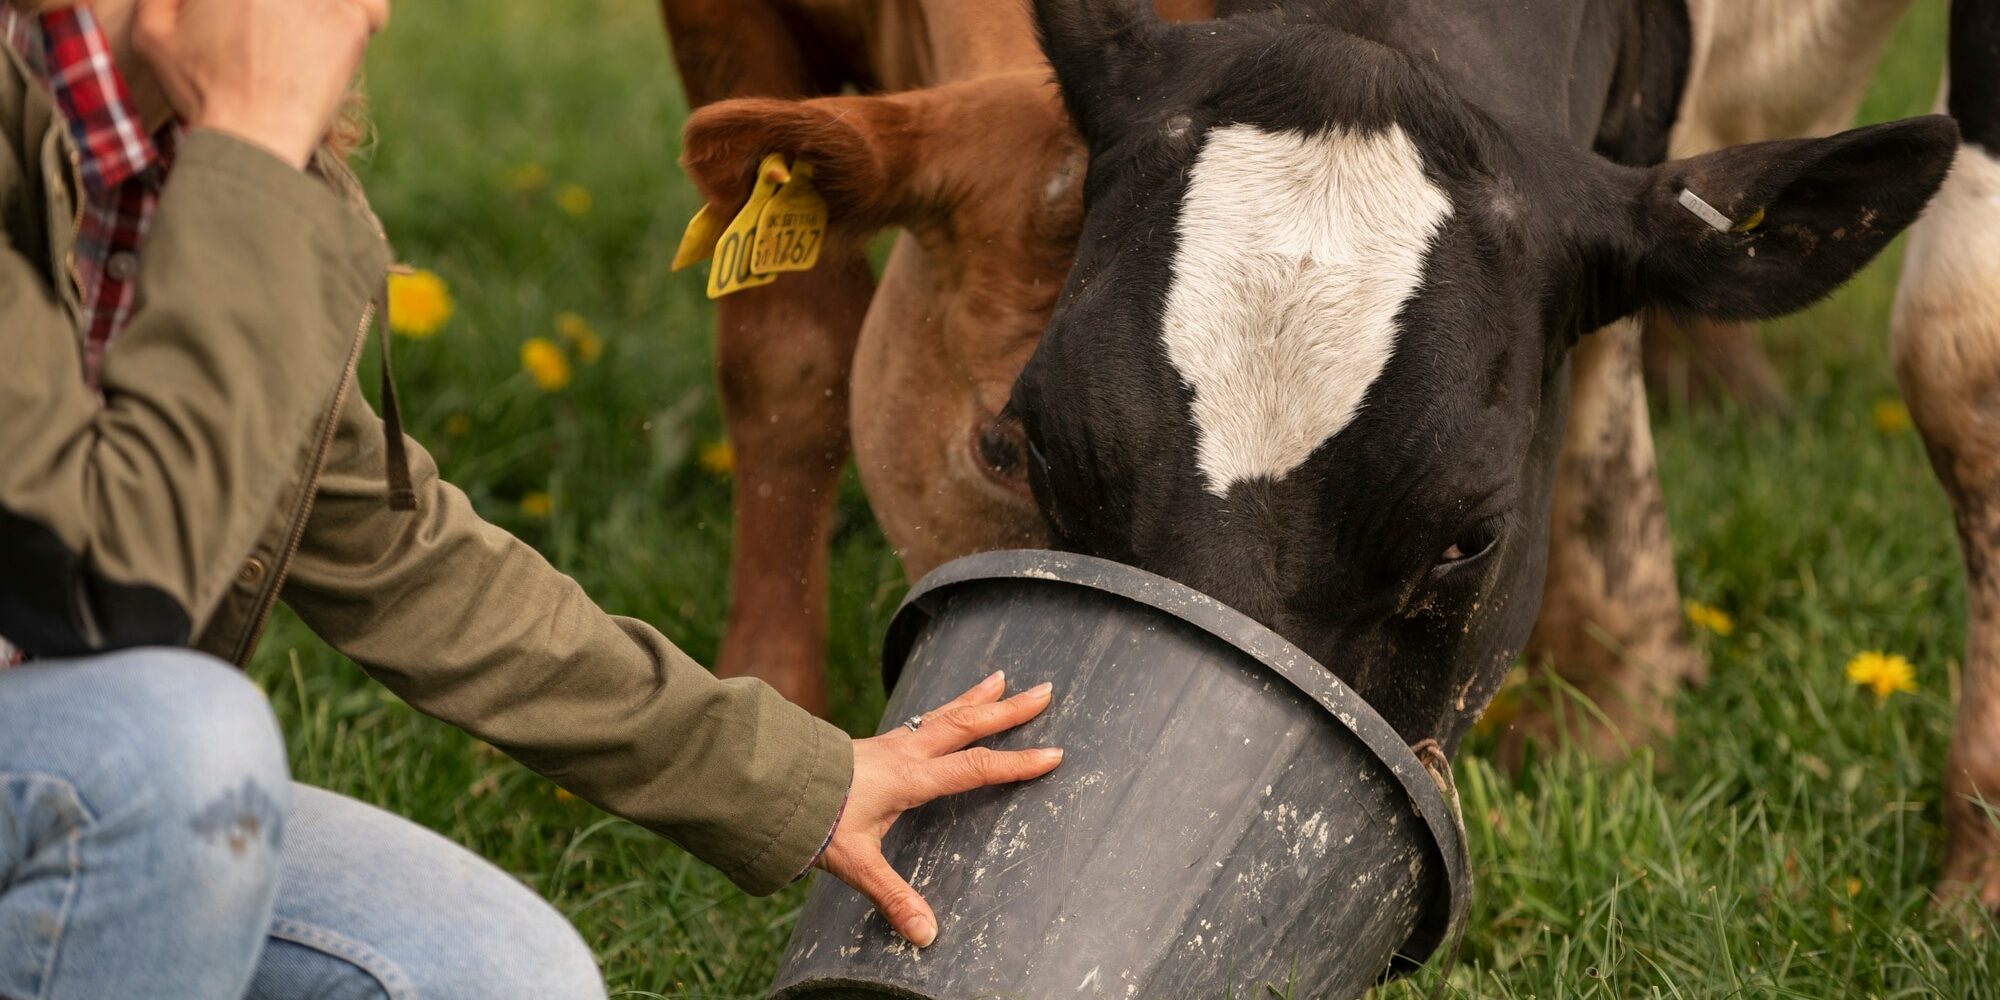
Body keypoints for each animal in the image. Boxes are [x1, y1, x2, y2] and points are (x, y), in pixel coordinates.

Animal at [662, 0, 2000, 911]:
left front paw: (1968, 874)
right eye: (1022, 440)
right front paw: (769, 693)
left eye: (1469, 536)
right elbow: (780, 344)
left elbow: (1957, 350)